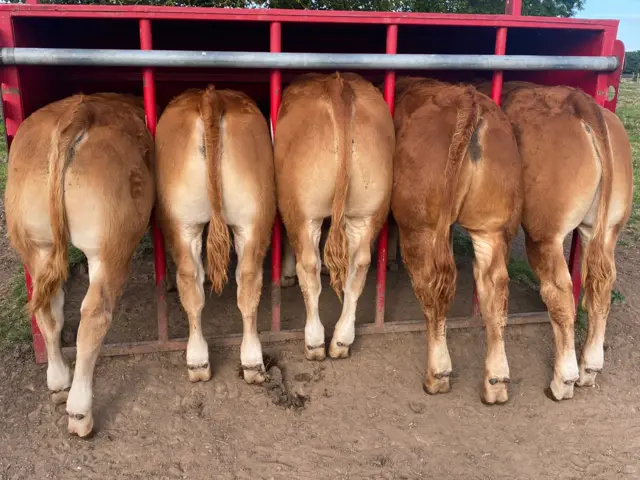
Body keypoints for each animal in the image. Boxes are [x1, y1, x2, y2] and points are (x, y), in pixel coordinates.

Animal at [4, 92, 155, 436]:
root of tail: (80, 110)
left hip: (36, 245)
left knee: (48, 310)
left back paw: (59, 381)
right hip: (109, 250)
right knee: (94, 315)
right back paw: (80, 411)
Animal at [276, 73, 396, 360]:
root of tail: (337, 85)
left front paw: (285, 275)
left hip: (302, 209)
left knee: (309, 263)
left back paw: (315, 342)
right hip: (368, 210)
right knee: (359, 265)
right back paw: (341, 340)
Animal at [392, 78, 524, 402]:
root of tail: (467, 98)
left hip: (420, 227)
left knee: (432, 288)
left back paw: (437, 374)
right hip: (491, 227)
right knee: (494, 288)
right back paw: (496, 381)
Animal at [478, 80, 632, 400]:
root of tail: (579, 101)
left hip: (545, 234)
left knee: (559, 293)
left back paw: (564, 379)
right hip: (604, 228)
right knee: (601, 287)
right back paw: (589, 368)